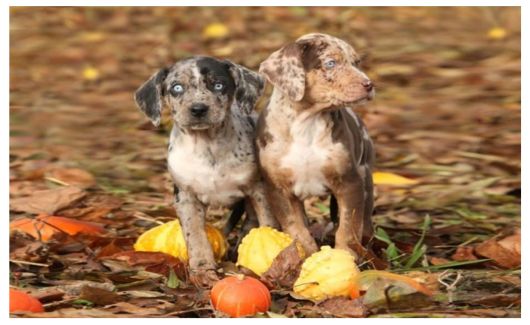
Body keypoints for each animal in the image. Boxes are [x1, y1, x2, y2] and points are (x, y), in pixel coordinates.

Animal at [134, 55, 278, 280]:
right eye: (176, 88)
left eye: (218, 85)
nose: (198, 109)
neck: (207, 146)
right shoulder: (185, 197)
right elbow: (195, 234)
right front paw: (202, 267)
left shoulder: (259, 189)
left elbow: (268, 222)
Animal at [255, 33, 376, 264]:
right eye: (331, 63)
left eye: (356, 63)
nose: (369, 84)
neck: (307, 124)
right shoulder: (278, 189)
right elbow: (296, 229)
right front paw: (306, 256)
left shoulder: (350, 182)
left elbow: (348, 227)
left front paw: (344, 256)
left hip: (366, 175)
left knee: (364, 221)